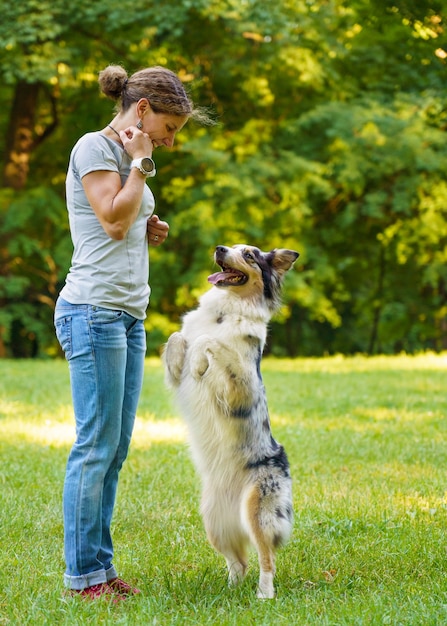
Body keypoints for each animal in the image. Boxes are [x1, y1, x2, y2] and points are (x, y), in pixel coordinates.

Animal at [163, 243, 300, 596]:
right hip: (214, 520)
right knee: (239, 562)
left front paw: (200, 363)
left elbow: (210, 342)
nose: (219, 248)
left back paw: (264, 594)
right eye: (232, 247)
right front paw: (183, 358)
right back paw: (230, 590)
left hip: (259, 511)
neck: (225, 310)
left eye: (250, 254)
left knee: (266, 559)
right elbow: (177, 337)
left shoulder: (242, 389)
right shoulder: (177, 375)